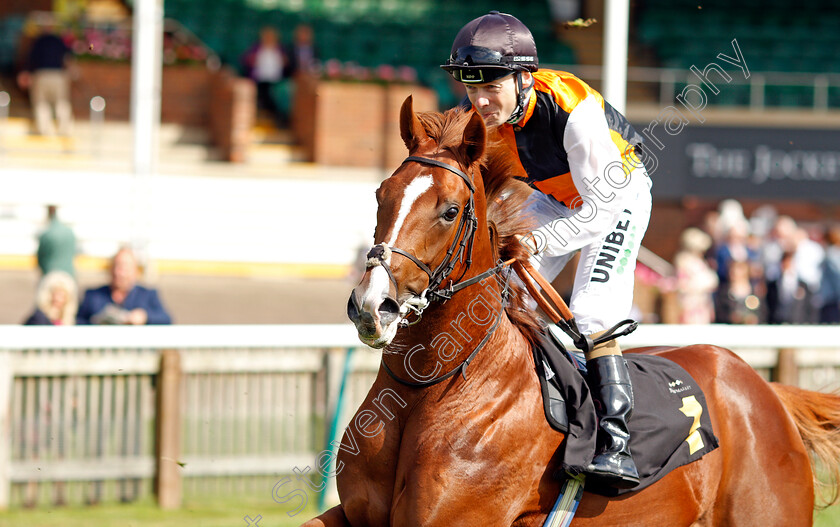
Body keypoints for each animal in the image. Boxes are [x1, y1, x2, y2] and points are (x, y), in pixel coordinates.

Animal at [306, 97, 840, 524]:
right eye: (381, 195)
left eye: (450, 211)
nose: (371, 306)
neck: (430, 387)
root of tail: (765, 390)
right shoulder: (353, 514)